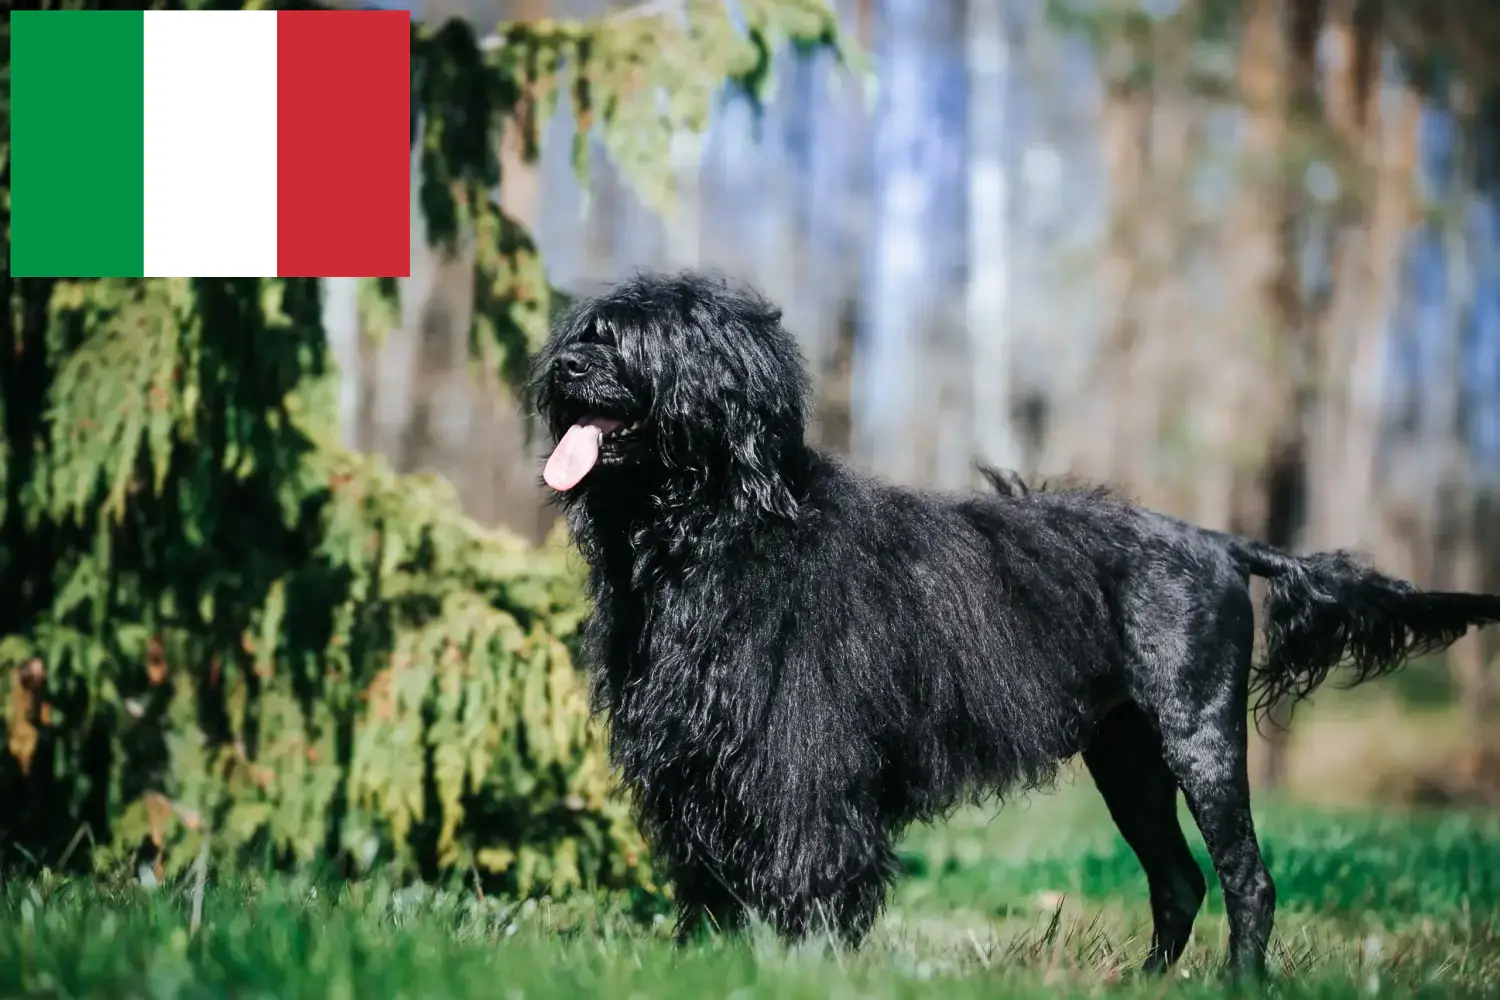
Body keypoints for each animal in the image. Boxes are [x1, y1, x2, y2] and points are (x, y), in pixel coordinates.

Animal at [534, 271, 1494, 977]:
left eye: (632, 339)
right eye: (586, 331)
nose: (564, 369)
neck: (714, 531)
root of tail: (1220, 543)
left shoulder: (804, 757)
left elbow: (809, 866)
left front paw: (802, 967)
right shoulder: (698, 753)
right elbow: (711, 869)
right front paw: (708, 960)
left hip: (1199, 732)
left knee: (1246, 878)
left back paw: (1241, 985)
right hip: (1128, 757)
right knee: (1179, 879)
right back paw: (1148, 985)